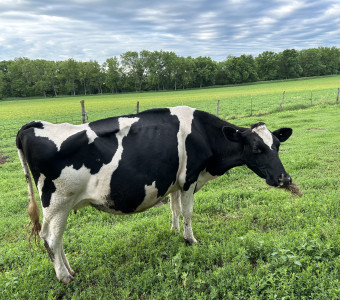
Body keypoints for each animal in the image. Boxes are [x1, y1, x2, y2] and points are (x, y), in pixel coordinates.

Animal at [15, 106, 292, 284]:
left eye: (277, 145)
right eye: (256, 148)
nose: (284, 178)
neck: (203, 134)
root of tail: (34, 125)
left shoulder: (175, 182)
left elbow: (175, 208)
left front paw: (174, 231)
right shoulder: (189, 178)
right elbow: (188, 212)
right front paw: (190, 239)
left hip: (61, 205)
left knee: (58, 239)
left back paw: (70, 271)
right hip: (58, 201)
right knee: (51, 237)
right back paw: (64, 277)